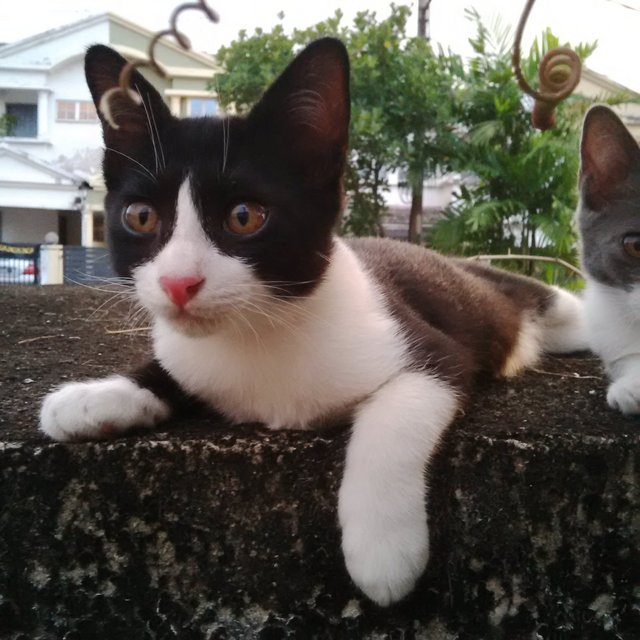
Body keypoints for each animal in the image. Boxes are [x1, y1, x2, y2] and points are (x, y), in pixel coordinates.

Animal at [41, 40, 592, 604]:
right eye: (141, 217)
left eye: (244, 217)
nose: (178, 283)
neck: (259, 332)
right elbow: (168, 369)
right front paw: (96, 397)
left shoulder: (432, 350)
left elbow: (396, 412)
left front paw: (382, 549)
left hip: (524, 296)